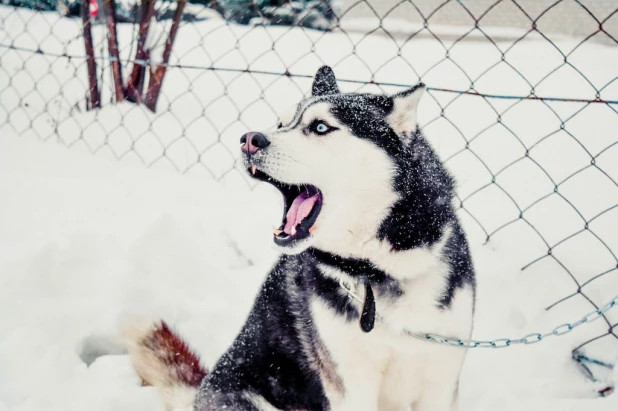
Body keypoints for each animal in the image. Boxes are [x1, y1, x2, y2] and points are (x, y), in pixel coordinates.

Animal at [124, 67, 472, 411]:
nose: (249, 140)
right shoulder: (350, 385)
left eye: (319, 127)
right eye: (281, 124)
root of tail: (198, 396)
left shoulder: (441, 381)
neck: (379, 271)